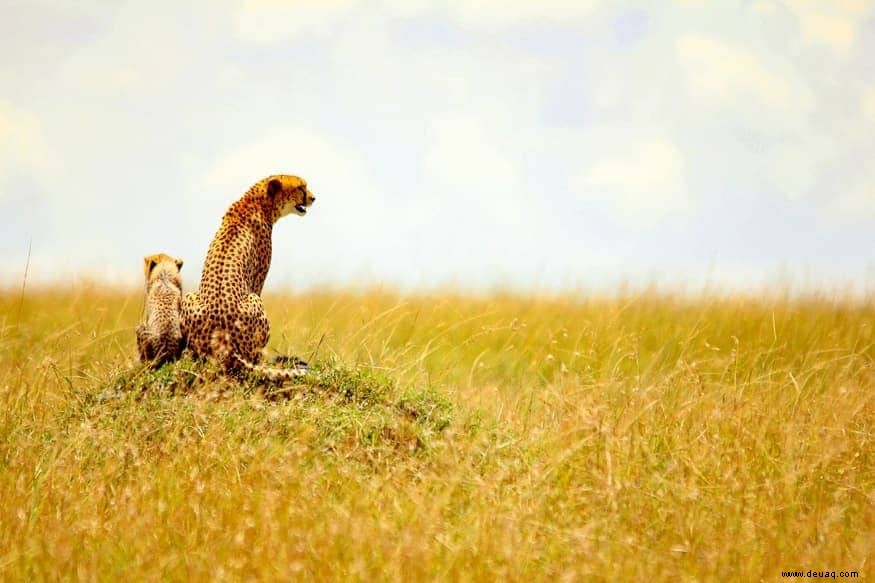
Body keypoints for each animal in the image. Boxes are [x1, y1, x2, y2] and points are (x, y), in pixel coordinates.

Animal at [181, 173, 314, 376]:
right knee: (255, 357)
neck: (256, 201)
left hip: (189, 297)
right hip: (254, 300)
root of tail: (226, 344)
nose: (314, 198)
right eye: (301, 187)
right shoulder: (257, 281)